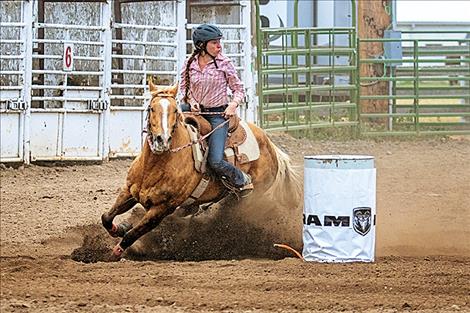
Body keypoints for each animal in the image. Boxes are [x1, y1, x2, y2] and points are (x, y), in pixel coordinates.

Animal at [102, 80, 302, 258]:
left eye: (175, 110)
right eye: (151, 108)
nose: (161, 140)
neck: (153, 167)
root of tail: (271, 146)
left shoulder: (162, 209)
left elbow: (133, 234)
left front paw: (116, 252)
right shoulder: (129, 191)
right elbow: (106, 217)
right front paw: (119, 228)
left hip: (244, 198)